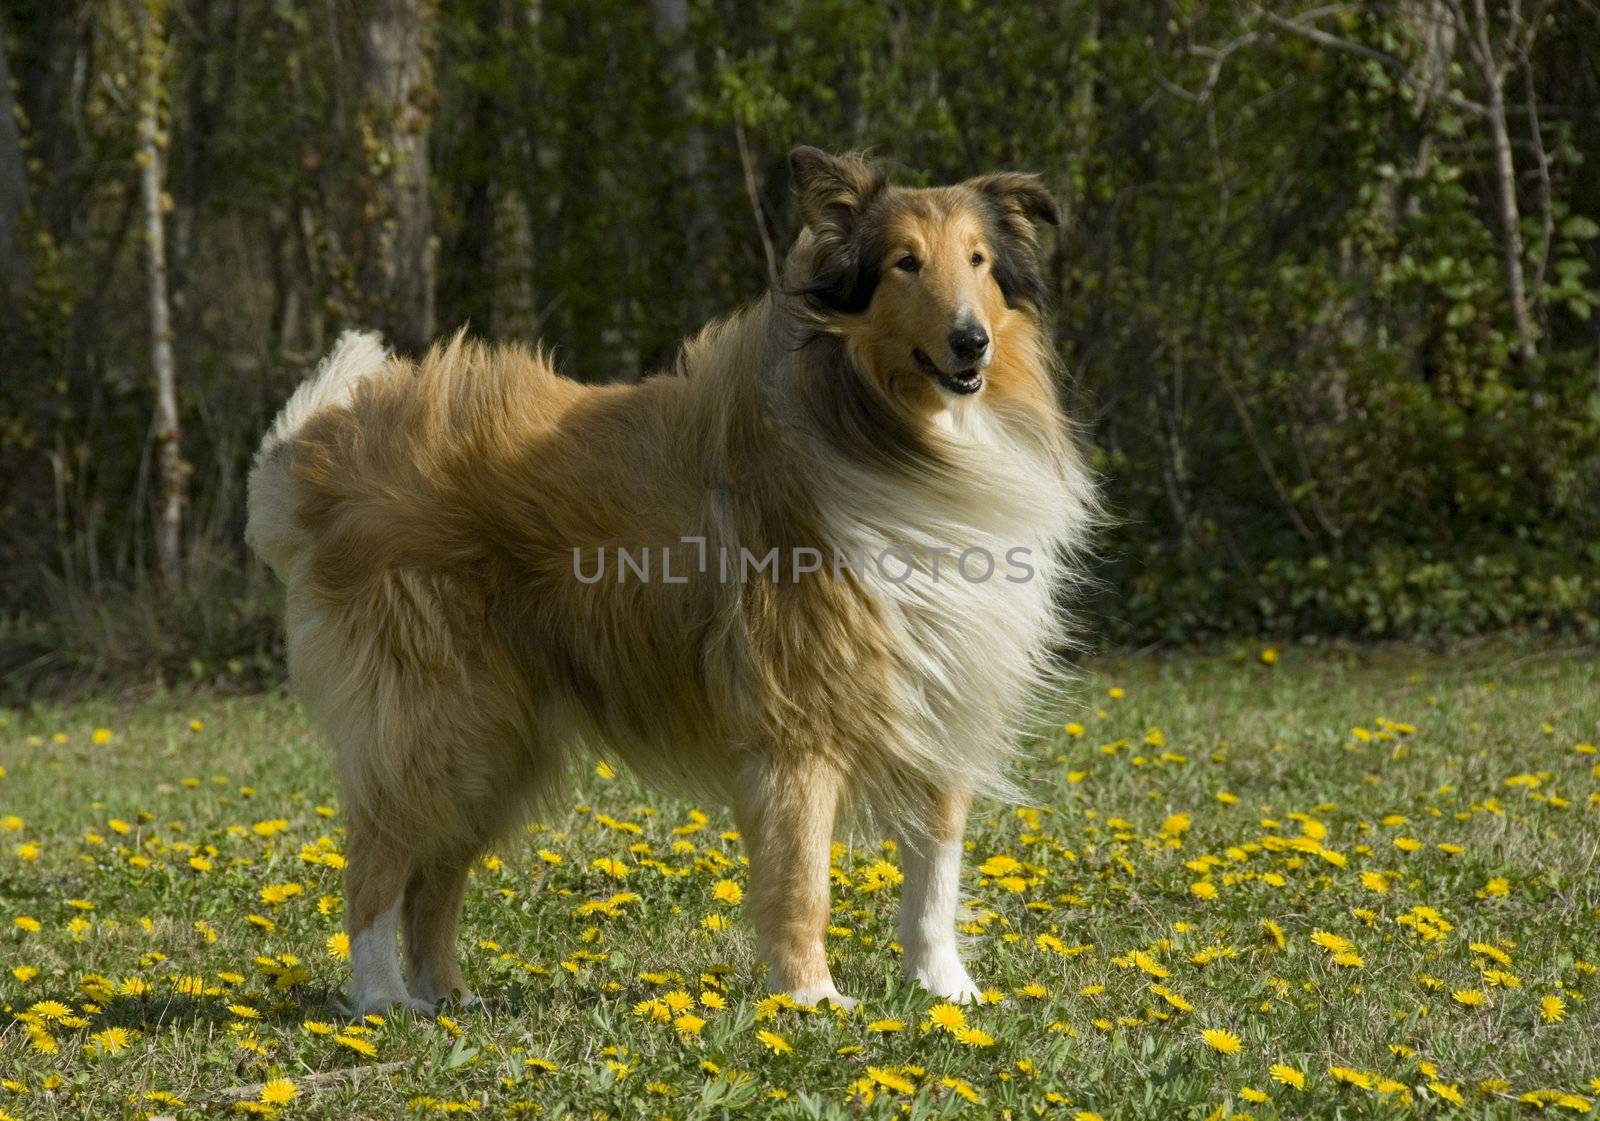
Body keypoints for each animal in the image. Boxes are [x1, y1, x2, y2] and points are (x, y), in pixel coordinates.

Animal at [249, 148, 1094, 1017]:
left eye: (979, 260)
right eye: (905, 263)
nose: (971, 343)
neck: (891, 434)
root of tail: (318, 453)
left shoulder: (943, 695)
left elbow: (936, 873)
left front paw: (946, 989)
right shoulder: (798, 721)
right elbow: (804, 878)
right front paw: (812, 998)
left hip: (495, 742)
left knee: (434, 878)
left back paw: (450, 997)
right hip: (435, 721)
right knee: (375, 867)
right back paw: (383, 1000)